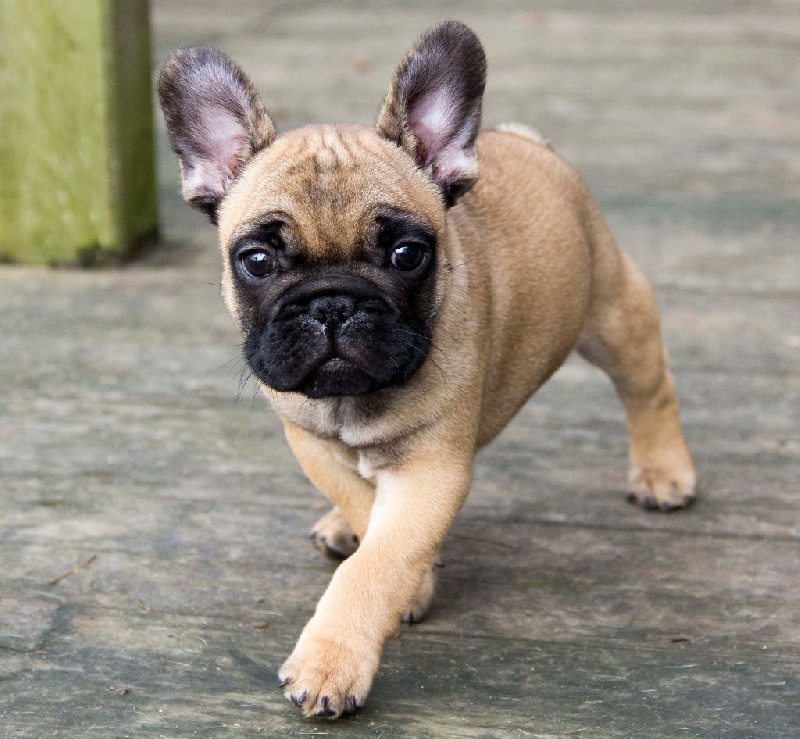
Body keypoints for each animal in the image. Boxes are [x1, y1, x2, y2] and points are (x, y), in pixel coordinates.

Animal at [158, 20, 697, 719]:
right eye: (256, 260)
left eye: (406, 254)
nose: (333, 303)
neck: (355, 402)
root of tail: (523, 139)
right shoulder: (313, 443)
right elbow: (364, 510)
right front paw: (395, 565)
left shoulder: (430, 470)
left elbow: (376, 565)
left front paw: (333, 660)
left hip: (611, 311)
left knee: (648, 385)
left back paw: (664, 471)